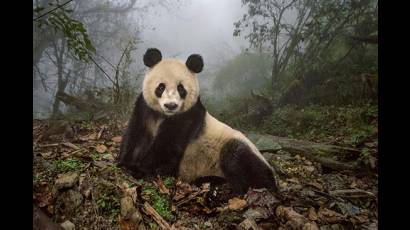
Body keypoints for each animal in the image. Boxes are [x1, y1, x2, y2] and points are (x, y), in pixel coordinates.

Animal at [116, 48, 278, 194]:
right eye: (161, 87)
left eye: (181, 88)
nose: (171, 105)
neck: (164, 115)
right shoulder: (144, 109)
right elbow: (135, 136)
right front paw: (125, 163)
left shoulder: (187, 117)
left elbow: (166, 148)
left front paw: (141, 169)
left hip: (240, 150)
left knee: (237, 158)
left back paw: (234, 191)